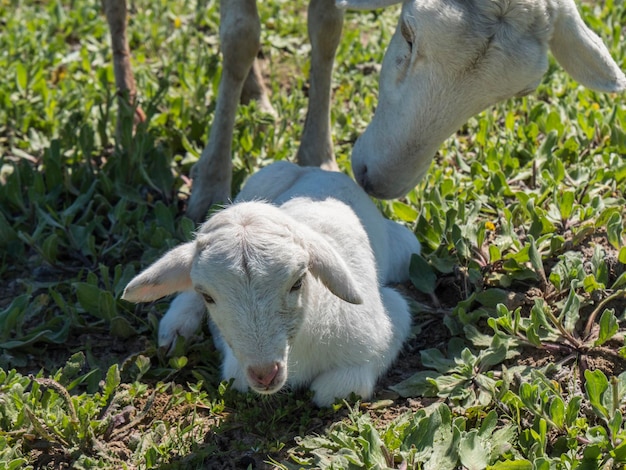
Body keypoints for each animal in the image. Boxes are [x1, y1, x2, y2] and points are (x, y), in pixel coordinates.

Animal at [120, 161, 420, 404]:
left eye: (298, 282)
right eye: (208, 296)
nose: (264, 374)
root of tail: (314, 169)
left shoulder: (386, 321)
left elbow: (335, 390)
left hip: (407, 249)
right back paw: (175, 329)